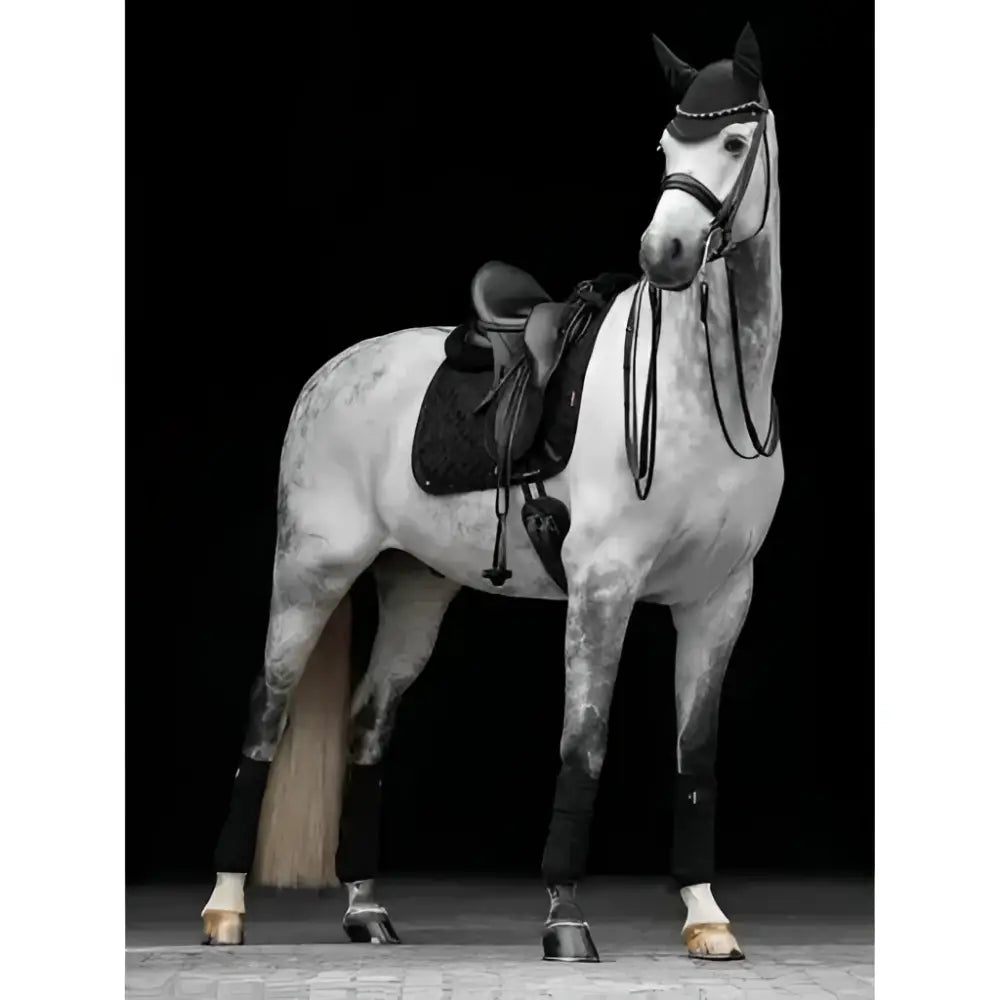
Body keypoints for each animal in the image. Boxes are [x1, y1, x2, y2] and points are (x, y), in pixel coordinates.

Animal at [199, 23, 784, 964]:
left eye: (734, 142)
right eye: (664, 148)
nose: (663, 256)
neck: (701, 390)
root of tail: (329, 373)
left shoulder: (720, 599)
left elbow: (696, 759)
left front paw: (706, 918)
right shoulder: (604, 590)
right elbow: (584, 747)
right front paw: (566, 920)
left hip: (415, 589)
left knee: (367, 729)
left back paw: (365, 910)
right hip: (310, 577)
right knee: (265, 716)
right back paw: (224, 911)